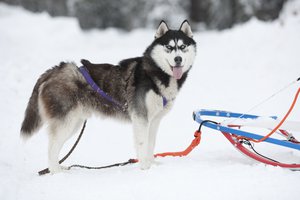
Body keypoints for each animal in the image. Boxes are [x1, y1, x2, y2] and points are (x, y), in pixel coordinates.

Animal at [20, 20, 197, 173]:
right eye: (169, 47)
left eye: (182, 46)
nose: (178, 59)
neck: (155, 73)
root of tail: (54, 70)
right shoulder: (141, 118)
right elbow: (142, 143)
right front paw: (145, 167)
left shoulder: (154, 120)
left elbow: (151, 144)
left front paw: (151, 163)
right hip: (66, 122)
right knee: (52, 146)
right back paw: (56, 171)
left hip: (75, 122)